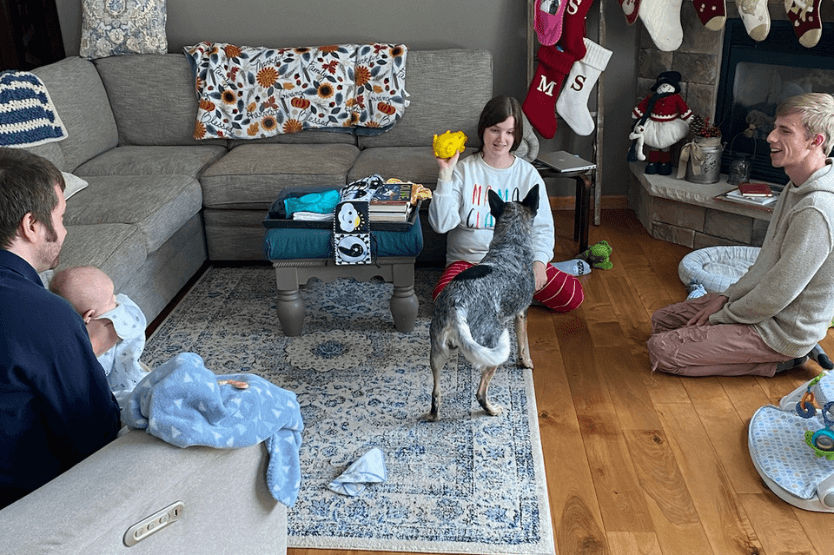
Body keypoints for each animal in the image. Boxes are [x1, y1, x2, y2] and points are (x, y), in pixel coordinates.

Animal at [426, 187, 536, 422]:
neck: (510, 246)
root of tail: (457, 305)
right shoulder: (521, 313)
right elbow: (523, 343)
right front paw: (525, 363)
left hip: (437, 352)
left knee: (436, 393)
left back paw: (433, 415)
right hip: (493, 349)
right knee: (480, 392)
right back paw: (492, 410)